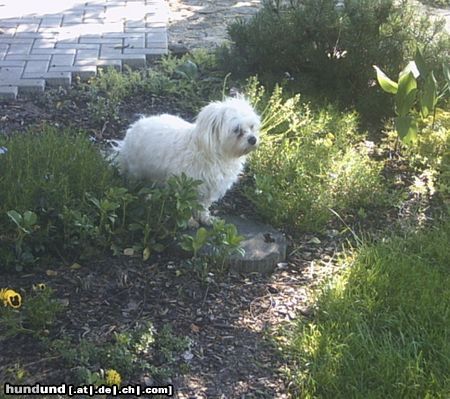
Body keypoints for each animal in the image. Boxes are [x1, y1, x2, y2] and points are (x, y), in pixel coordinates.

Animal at [117, 97, 260, 225]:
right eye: (237, 130)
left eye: (252, 126)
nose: (253, 139)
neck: (217, 155)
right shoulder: (185, 185)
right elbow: (185, 205)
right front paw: (189, 221)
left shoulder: (211, 188)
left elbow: (203, 205)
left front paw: (205, 218)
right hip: (136, 169)